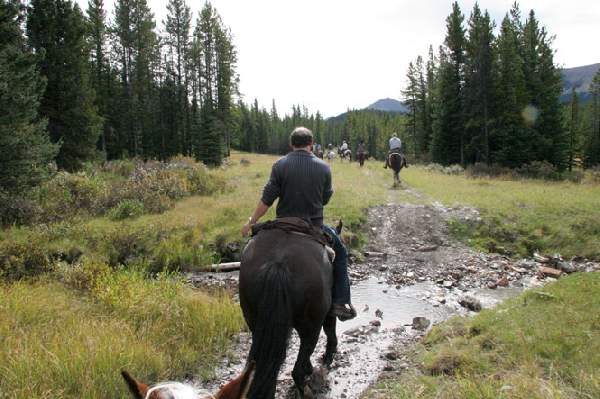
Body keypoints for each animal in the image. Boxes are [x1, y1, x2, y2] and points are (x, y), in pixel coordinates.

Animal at [238, 227, 338, 398]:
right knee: (298, 366)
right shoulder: (327, 314)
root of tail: (278, 263)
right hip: (312, 326)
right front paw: (327, 358)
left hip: (254, 321)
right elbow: (330, 331)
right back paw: (306, 387)